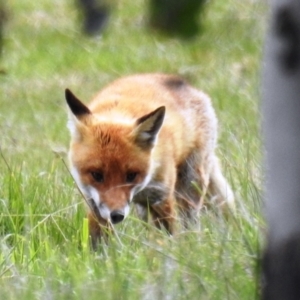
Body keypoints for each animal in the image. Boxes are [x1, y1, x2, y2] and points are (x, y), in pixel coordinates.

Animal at [65, 74, 234, 247]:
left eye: (131, 175)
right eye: (96, 175)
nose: (116, 215)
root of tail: (181, 81)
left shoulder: (161, 196)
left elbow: (169, 234)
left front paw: (171, 250)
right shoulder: (93, 202)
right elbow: (97, 239)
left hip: (190, 185)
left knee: (190, 221)